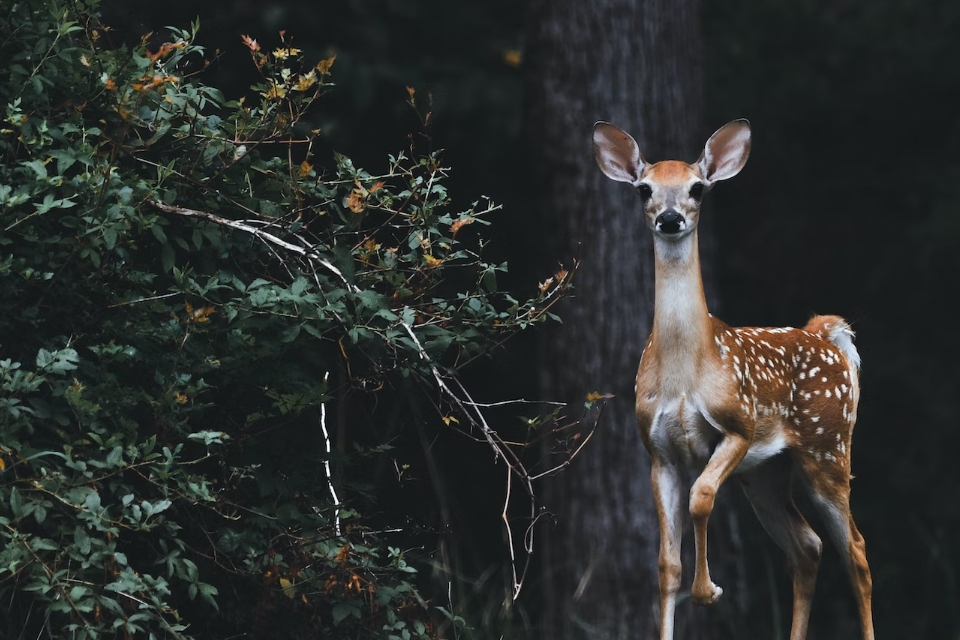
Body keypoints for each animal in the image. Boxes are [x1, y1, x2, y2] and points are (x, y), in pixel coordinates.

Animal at [588, 120, 872, 640]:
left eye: (698, 187)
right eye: (644, 189)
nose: (671, 219)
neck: (685, 373)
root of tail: (826, 333)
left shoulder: (738, 425)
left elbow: (701, 500)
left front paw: (709, 591)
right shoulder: (658, 451)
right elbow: (666, 564)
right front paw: (693, 590)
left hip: (828, 447)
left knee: (855, 550)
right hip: (765, 473)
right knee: (807, 546)